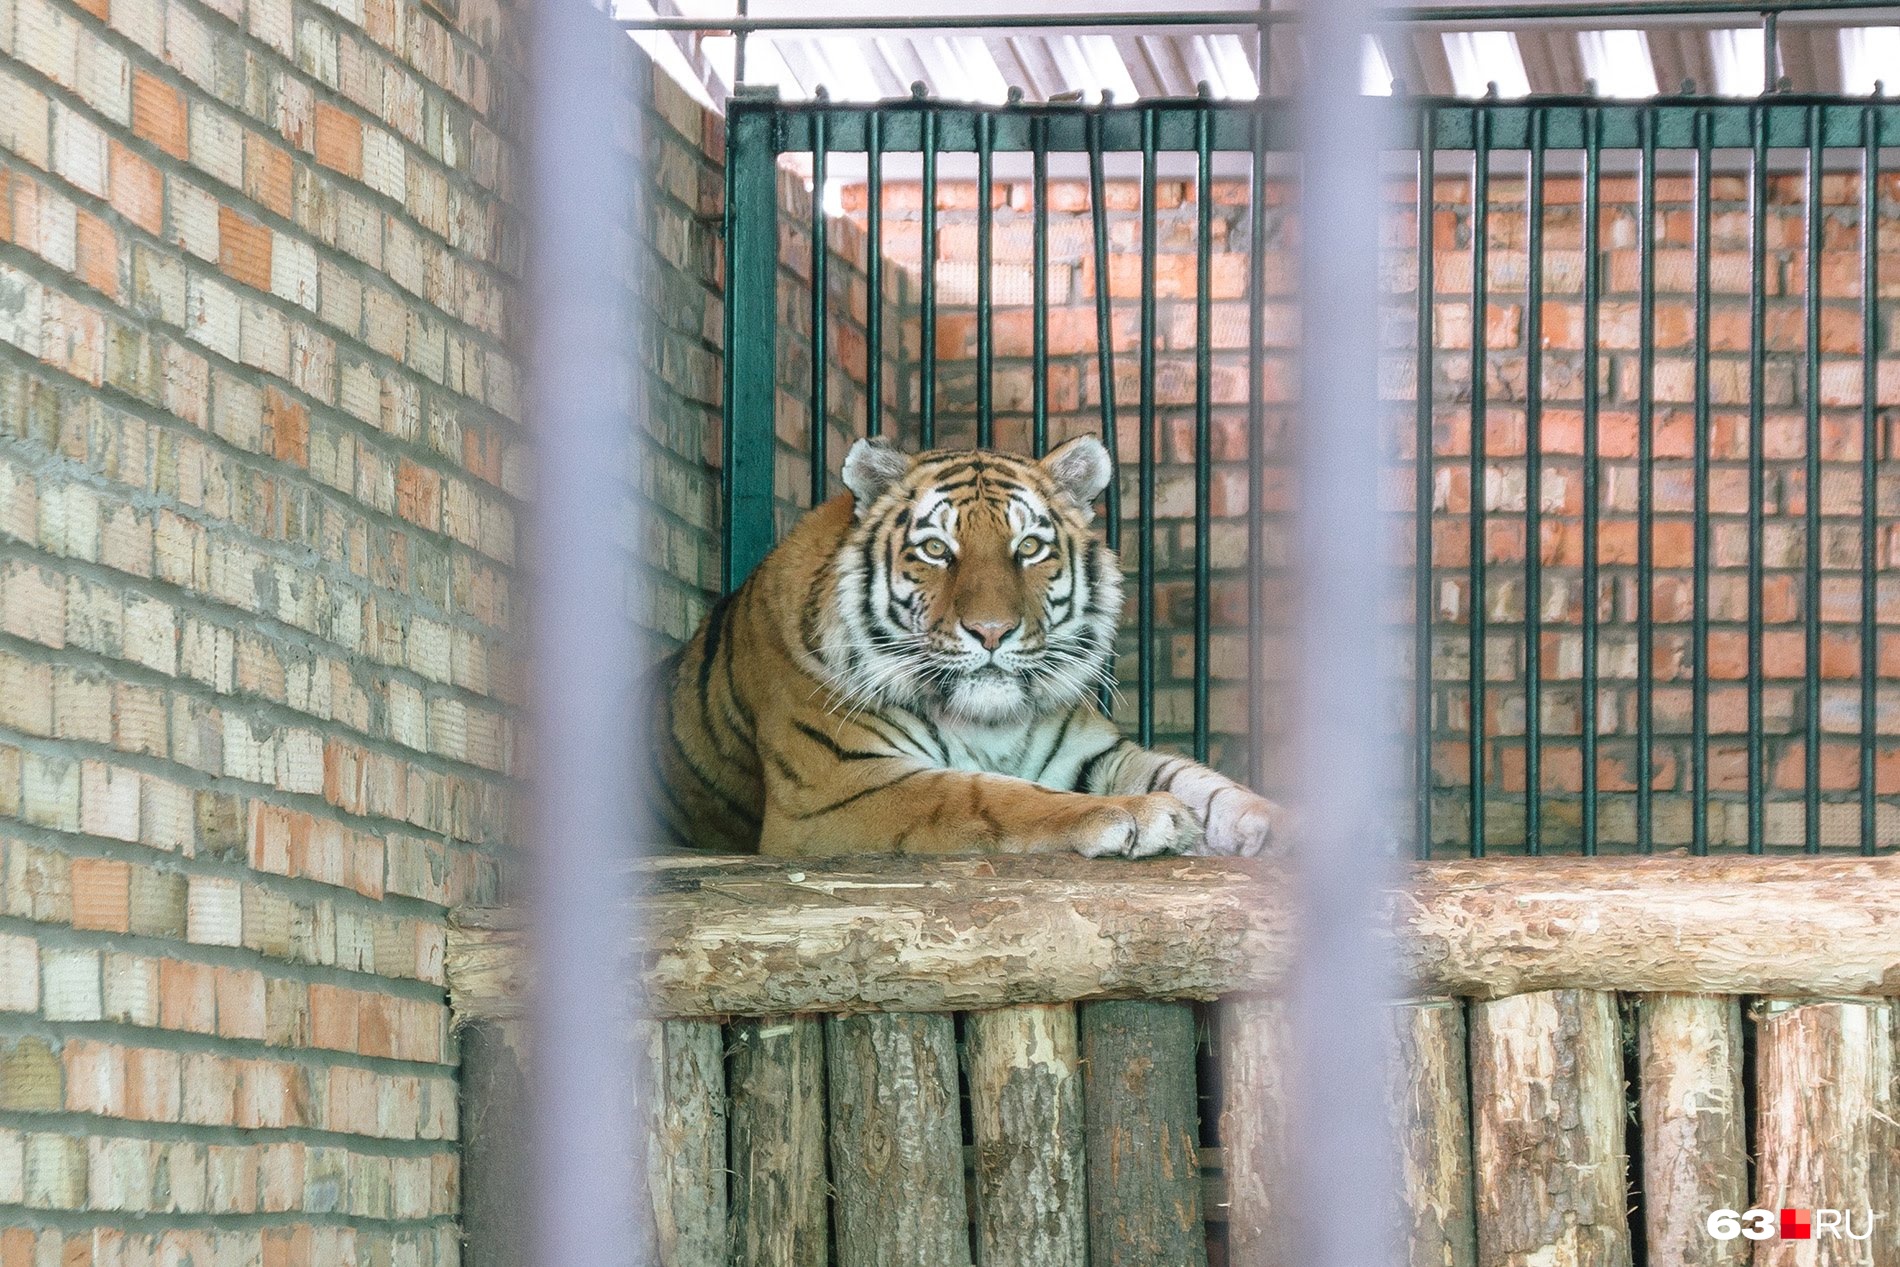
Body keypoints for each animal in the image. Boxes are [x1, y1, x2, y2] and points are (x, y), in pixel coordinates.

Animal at [646, 436, 1284, 862]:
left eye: (1028, 547)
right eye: (935, 550)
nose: (992, 631)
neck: (988, 722)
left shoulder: (1094, 752)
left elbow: (1194, 777)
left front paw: (1272, 823)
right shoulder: (839, 786)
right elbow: (988, 796)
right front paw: (1140, 813)